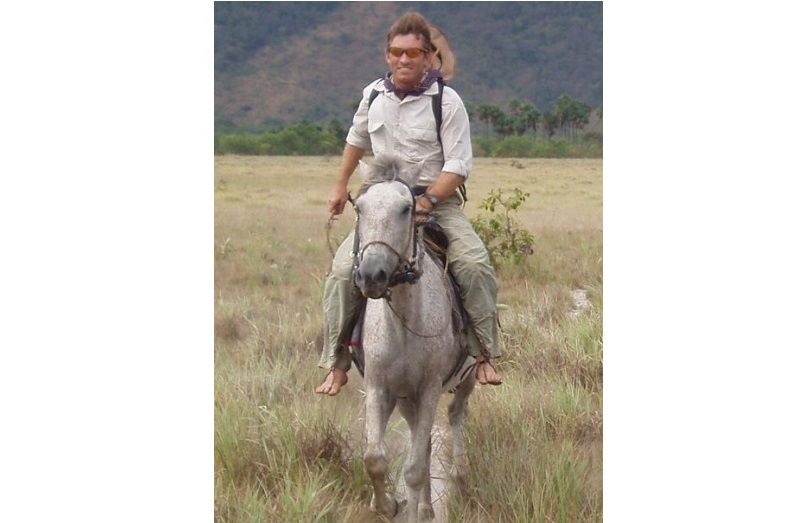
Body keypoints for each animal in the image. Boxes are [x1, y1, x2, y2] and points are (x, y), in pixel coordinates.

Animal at [352, 154, 477, 522]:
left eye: (406, 208)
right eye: (359, 208)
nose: (371, 276)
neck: (404, 324)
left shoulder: (430, 388)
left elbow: (415, 468)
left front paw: (409, 510)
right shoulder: (379, 387)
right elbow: (375, 458)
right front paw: (386, 504)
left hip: (466, 378)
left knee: (456, 414)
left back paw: (460, 479)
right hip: (408, 399)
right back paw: (426, 505)